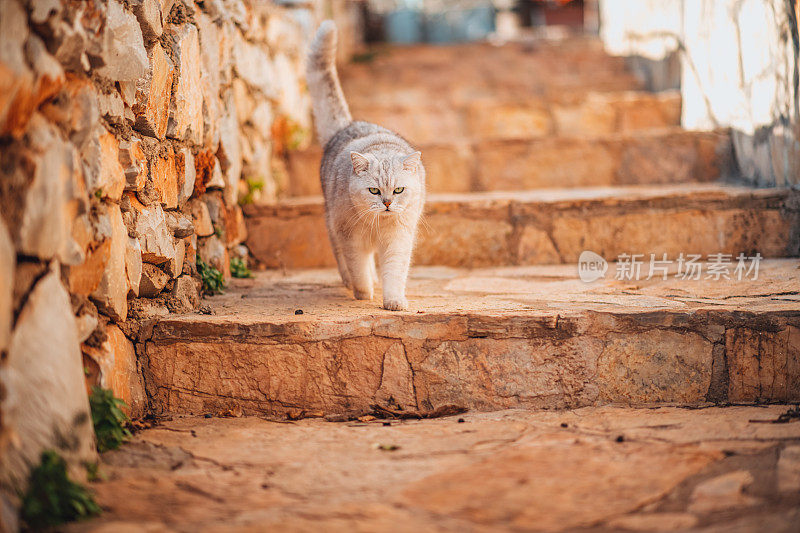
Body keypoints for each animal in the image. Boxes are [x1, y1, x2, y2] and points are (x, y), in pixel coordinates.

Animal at [306, 21, 424, 312]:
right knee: (345, 262)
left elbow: (394, 272)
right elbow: (358, 269)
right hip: (332, 224)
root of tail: (346, 126)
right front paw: (363, 293)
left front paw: (394, 301)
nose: (387, 203)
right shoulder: (350, 238)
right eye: (373, 191)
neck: (378, 225)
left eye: (398, 190)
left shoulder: (398, 240)